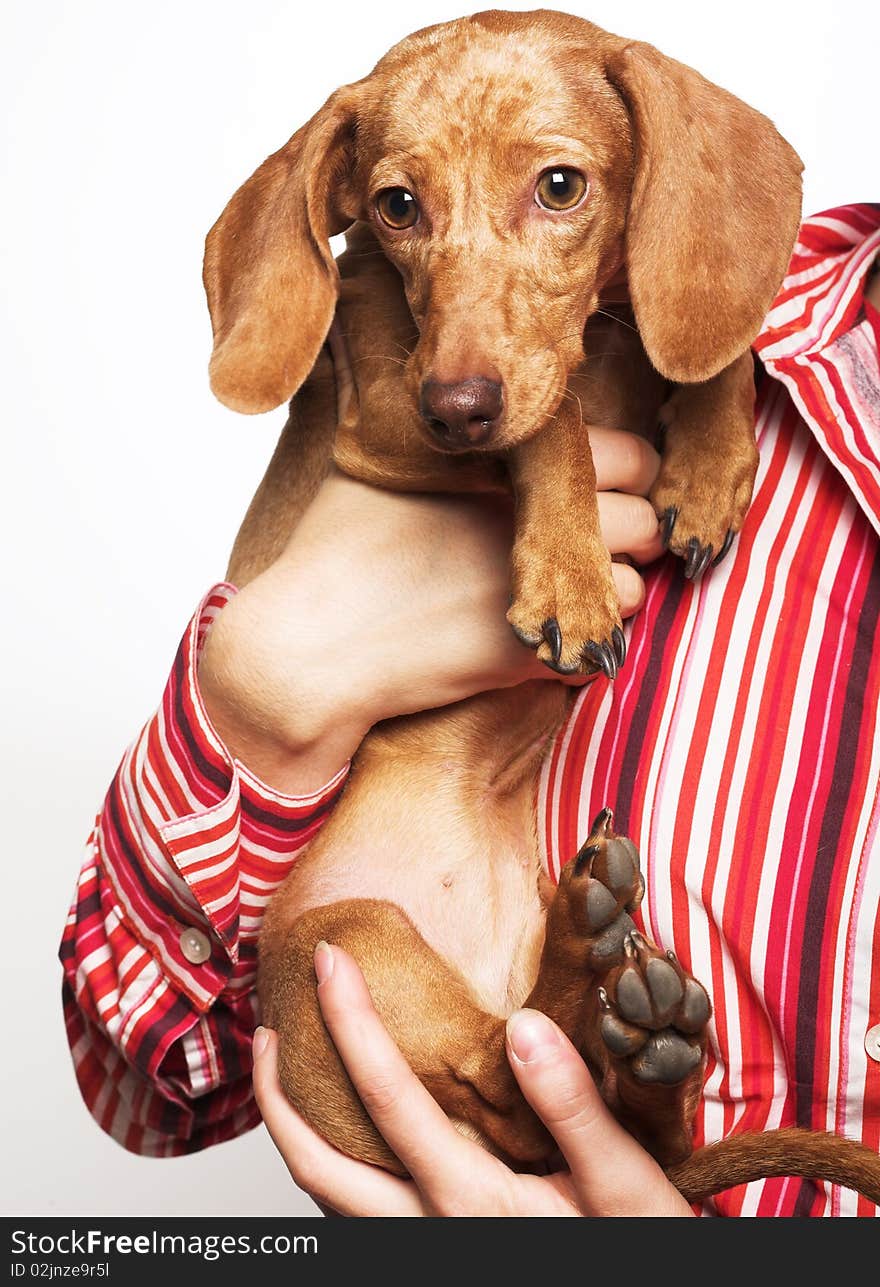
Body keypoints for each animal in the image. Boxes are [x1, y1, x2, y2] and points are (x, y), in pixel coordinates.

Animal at [203, 7, 880, 1204]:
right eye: (395, 206)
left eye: (559, 185)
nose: (459, 405)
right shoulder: (390, 413)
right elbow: (553, 416)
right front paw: (570, 572)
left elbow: (708, 347)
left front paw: (708, 466)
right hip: (346, 940)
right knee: (516, 1086)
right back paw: (596, 979)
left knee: (591, 1107)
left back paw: (643, 1037)